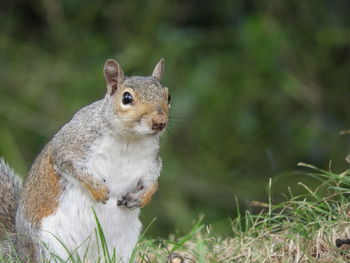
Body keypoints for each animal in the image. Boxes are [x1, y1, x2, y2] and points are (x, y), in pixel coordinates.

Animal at [0, 58, 171, 262]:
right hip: (49, 246)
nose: (159, 122)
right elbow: (68, 164)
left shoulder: (151, 161)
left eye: (168, 97)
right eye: (126, 98)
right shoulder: (71, 143)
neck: (129, 139)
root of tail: (20, 250)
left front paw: (143, 197)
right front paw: (98, 189)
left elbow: (152, 180)